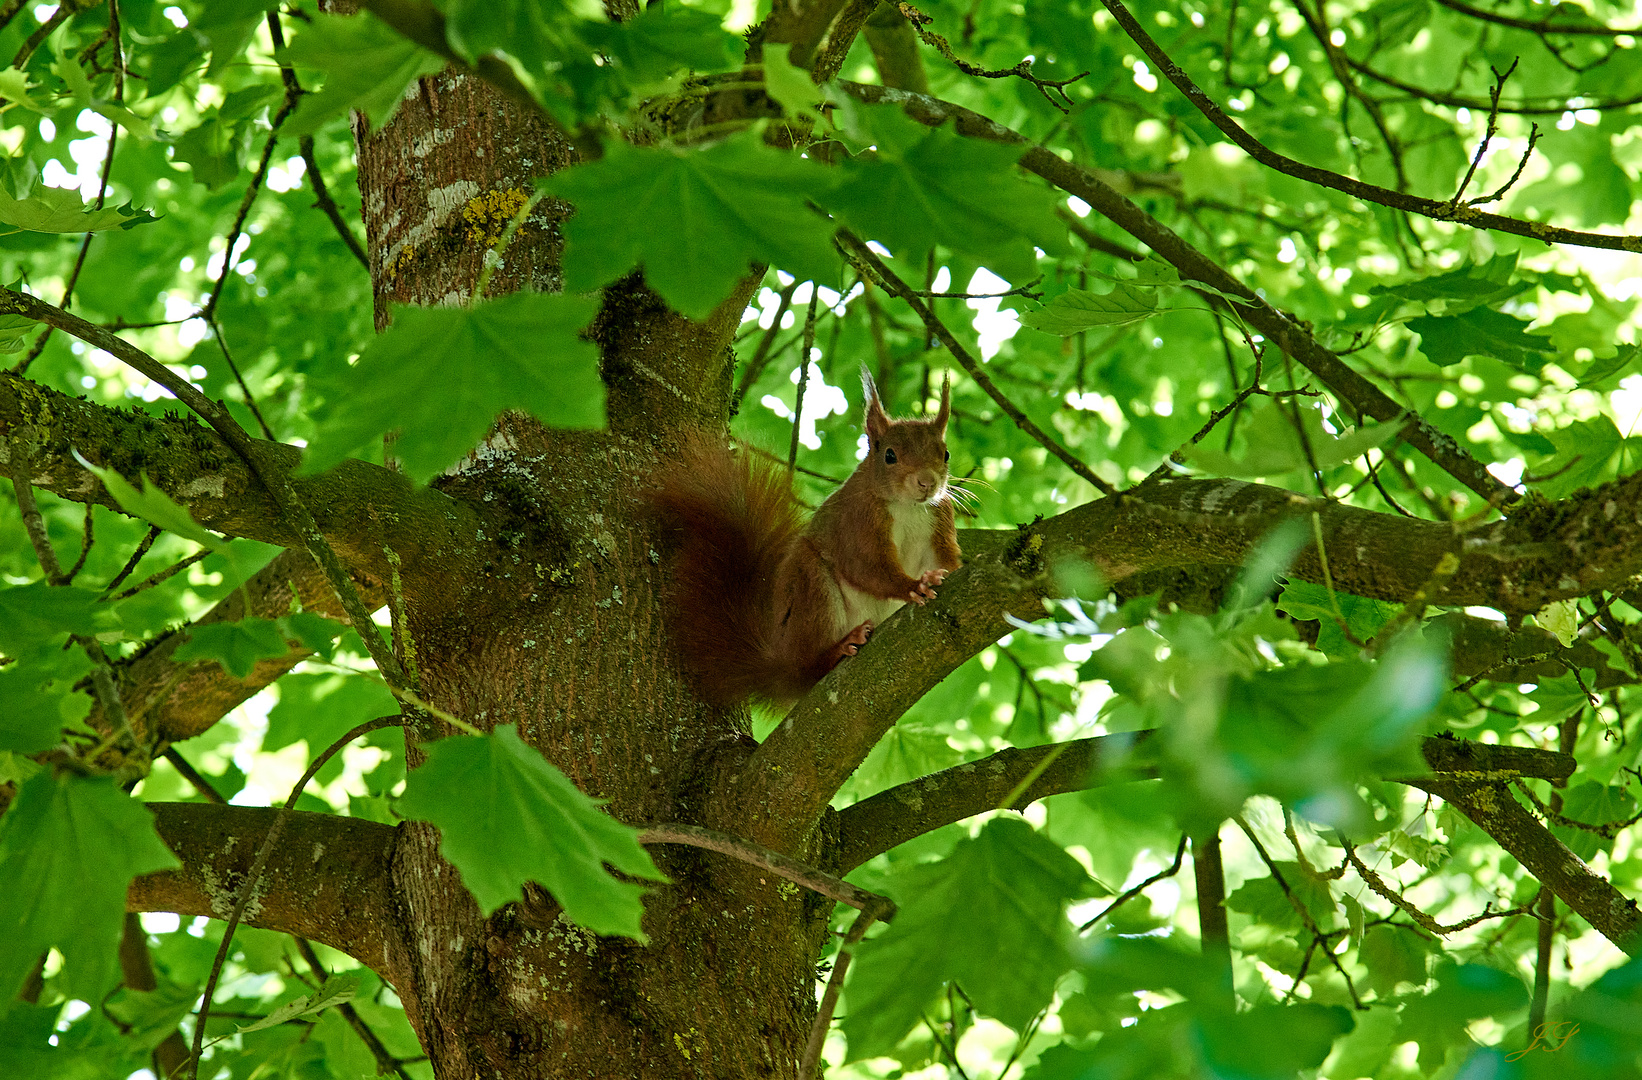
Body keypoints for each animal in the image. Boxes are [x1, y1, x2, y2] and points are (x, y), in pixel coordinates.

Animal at [653, 370, 958, 705]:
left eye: (945, 454)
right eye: (890, 455)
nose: (927, 483)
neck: (907, 508)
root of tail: (782, 665)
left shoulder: (939, 521)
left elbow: (946, 559)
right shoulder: (856, 523)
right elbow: (867, 567)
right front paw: (913, 586)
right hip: (811, 589)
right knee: (809, 668)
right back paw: (837, 650)